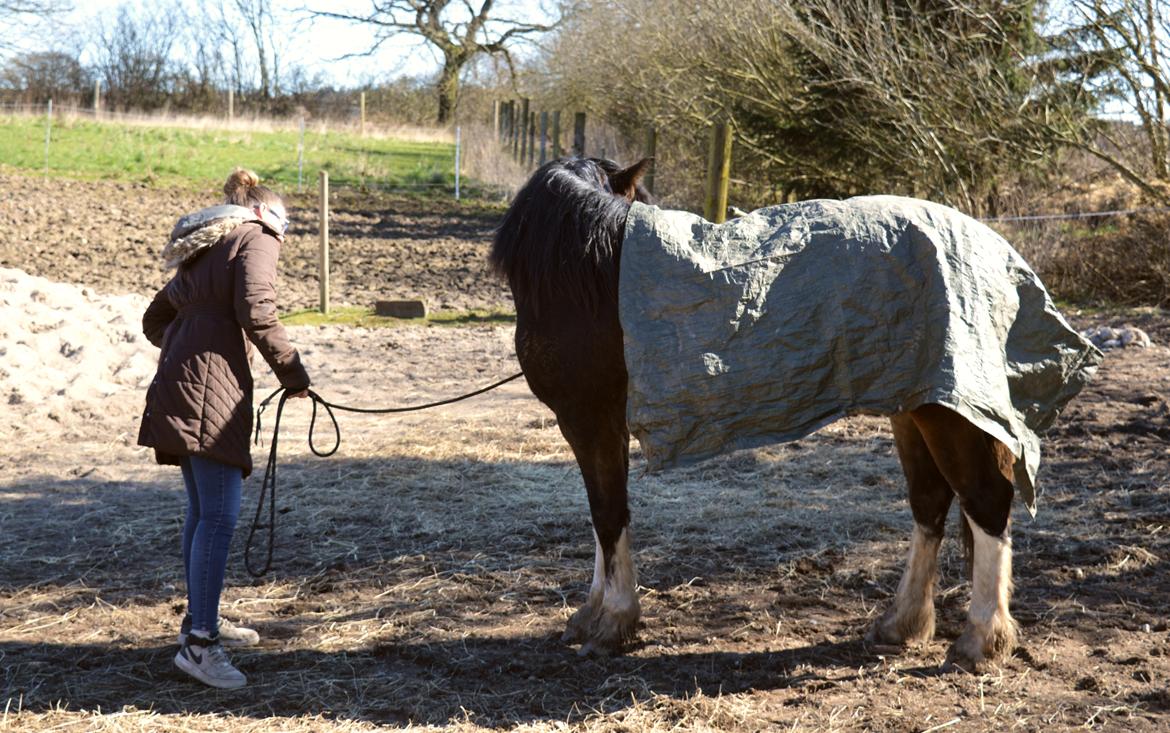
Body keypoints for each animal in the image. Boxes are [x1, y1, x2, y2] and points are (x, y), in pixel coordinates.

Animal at [491, 156, 1024, 669]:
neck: (589, 277)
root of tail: (994, 251)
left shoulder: (587, 418)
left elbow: (607, 514)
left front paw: (612, 623)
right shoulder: (602, 424)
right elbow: (604, 514)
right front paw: (591, 614)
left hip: (947, 413)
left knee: (986, 501)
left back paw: (980, 642)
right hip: (912, 403)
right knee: (930, 501)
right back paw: (902, 623)